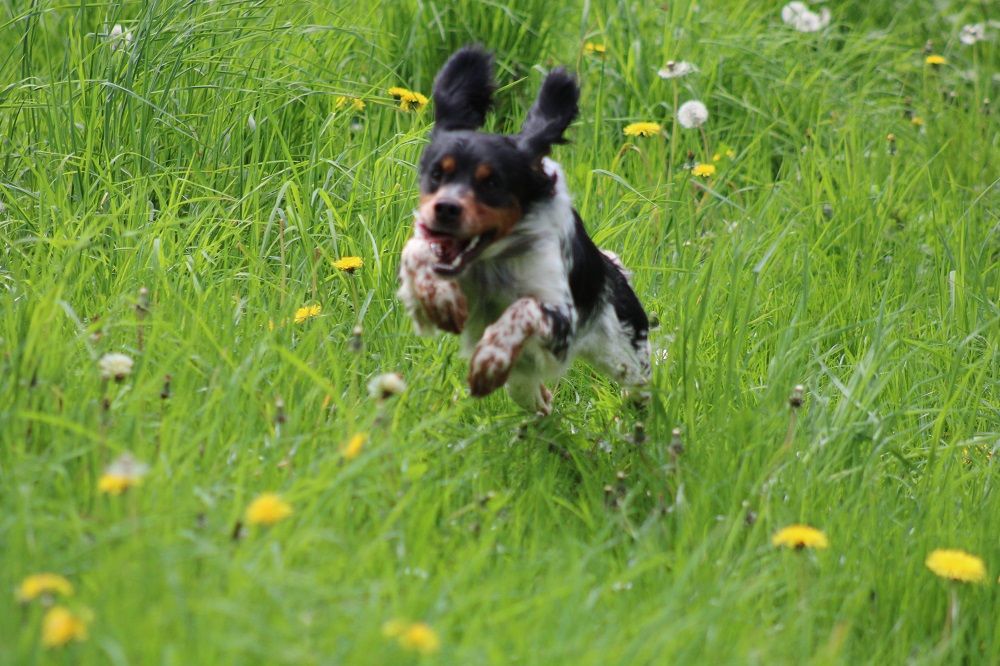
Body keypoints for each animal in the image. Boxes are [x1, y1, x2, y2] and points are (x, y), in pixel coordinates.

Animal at [394, 44, 652, 412]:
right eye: (437, 173)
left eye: (491, 182)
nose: (445, 209)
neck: (489, 261)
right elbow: (414, 253)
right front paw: (441, 299)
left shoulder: (561, 319)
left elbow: (523, 308)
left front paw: (490, 358)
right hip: (525, 383)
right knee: (533, 395)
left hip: (622, 352)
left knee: (639, 383)